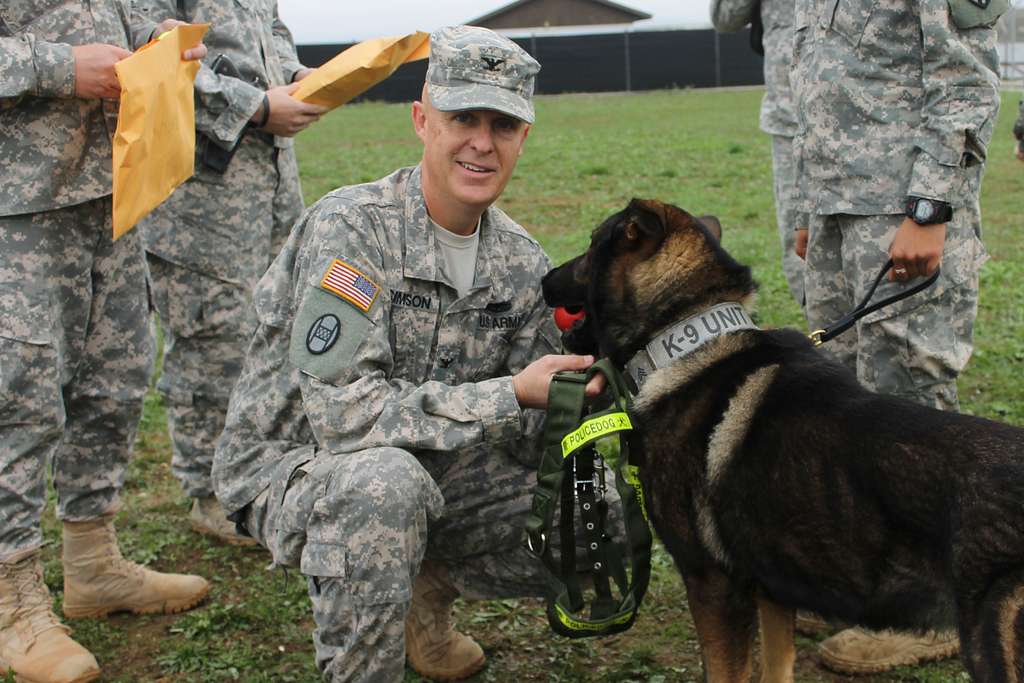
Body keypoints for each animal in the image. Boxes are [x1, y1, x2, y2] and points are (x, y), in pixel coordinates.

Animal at [544, 198, 1024, 683]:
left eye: (591, 245)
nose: (546, 279)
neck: (683, 340)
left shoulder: (711, 584)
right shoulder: (771, 586)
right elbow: (777, 665)